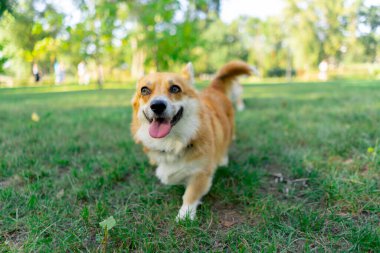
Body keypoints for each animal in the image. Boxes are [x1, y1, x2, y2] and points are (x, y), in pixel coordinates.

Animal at [131, 60, 252, 219]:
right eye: (144, 90)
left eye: (175, 88)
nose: (157, 106)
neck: (172, 142)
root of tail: (214, 88)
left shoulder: (201, 173)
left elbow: (190, 194)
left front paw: (184, 216)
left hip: (228, 130)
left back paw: (223, 161)